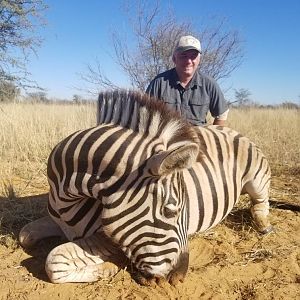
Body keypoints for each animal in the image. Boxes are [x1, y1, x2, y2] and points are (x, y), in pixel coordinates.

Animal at [18, 91, 272, 286]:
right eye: (170, 211)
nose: (179, 277)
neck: (66, 203)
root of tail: (228, 130)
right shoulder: (57, 222)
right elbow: (25, 235)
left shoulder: (107, 239)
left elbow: (54, 260)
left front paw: (111, 266)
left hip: (256, 178)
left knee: (261, 202)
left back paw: (263, 224)